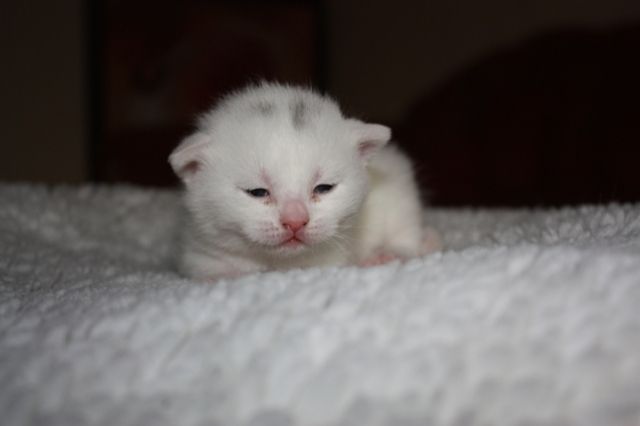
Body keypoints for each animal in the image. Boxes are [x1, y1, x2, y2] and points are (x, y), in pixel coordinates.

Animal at [170, 82, 440, 280]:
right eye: (257, 192)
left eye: (324, 188)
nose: (295, 221)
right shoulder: (198, 255)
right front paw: (223, 276)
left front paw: (386, 254)